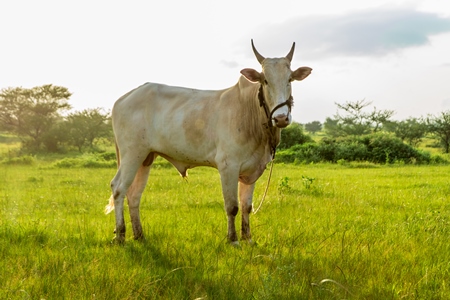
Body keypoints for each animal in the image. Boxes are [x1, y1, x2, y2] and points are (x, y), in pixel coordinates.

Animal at [105, 39, 312, 245]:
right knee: (118, 188)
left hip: (146, 157)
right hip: (132, 153)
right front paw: (233, 240)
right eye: (265, 80)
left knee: (134, 195)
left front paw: (248, 239)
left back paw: (139, 236)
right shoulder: (228, 166)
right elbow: (232, 207)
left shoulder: (251, 169)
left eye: (290, 80)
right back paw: (120, 235)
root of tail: (123, 98)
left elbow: (246, 206)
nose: (281, 118)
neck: (250, 111)